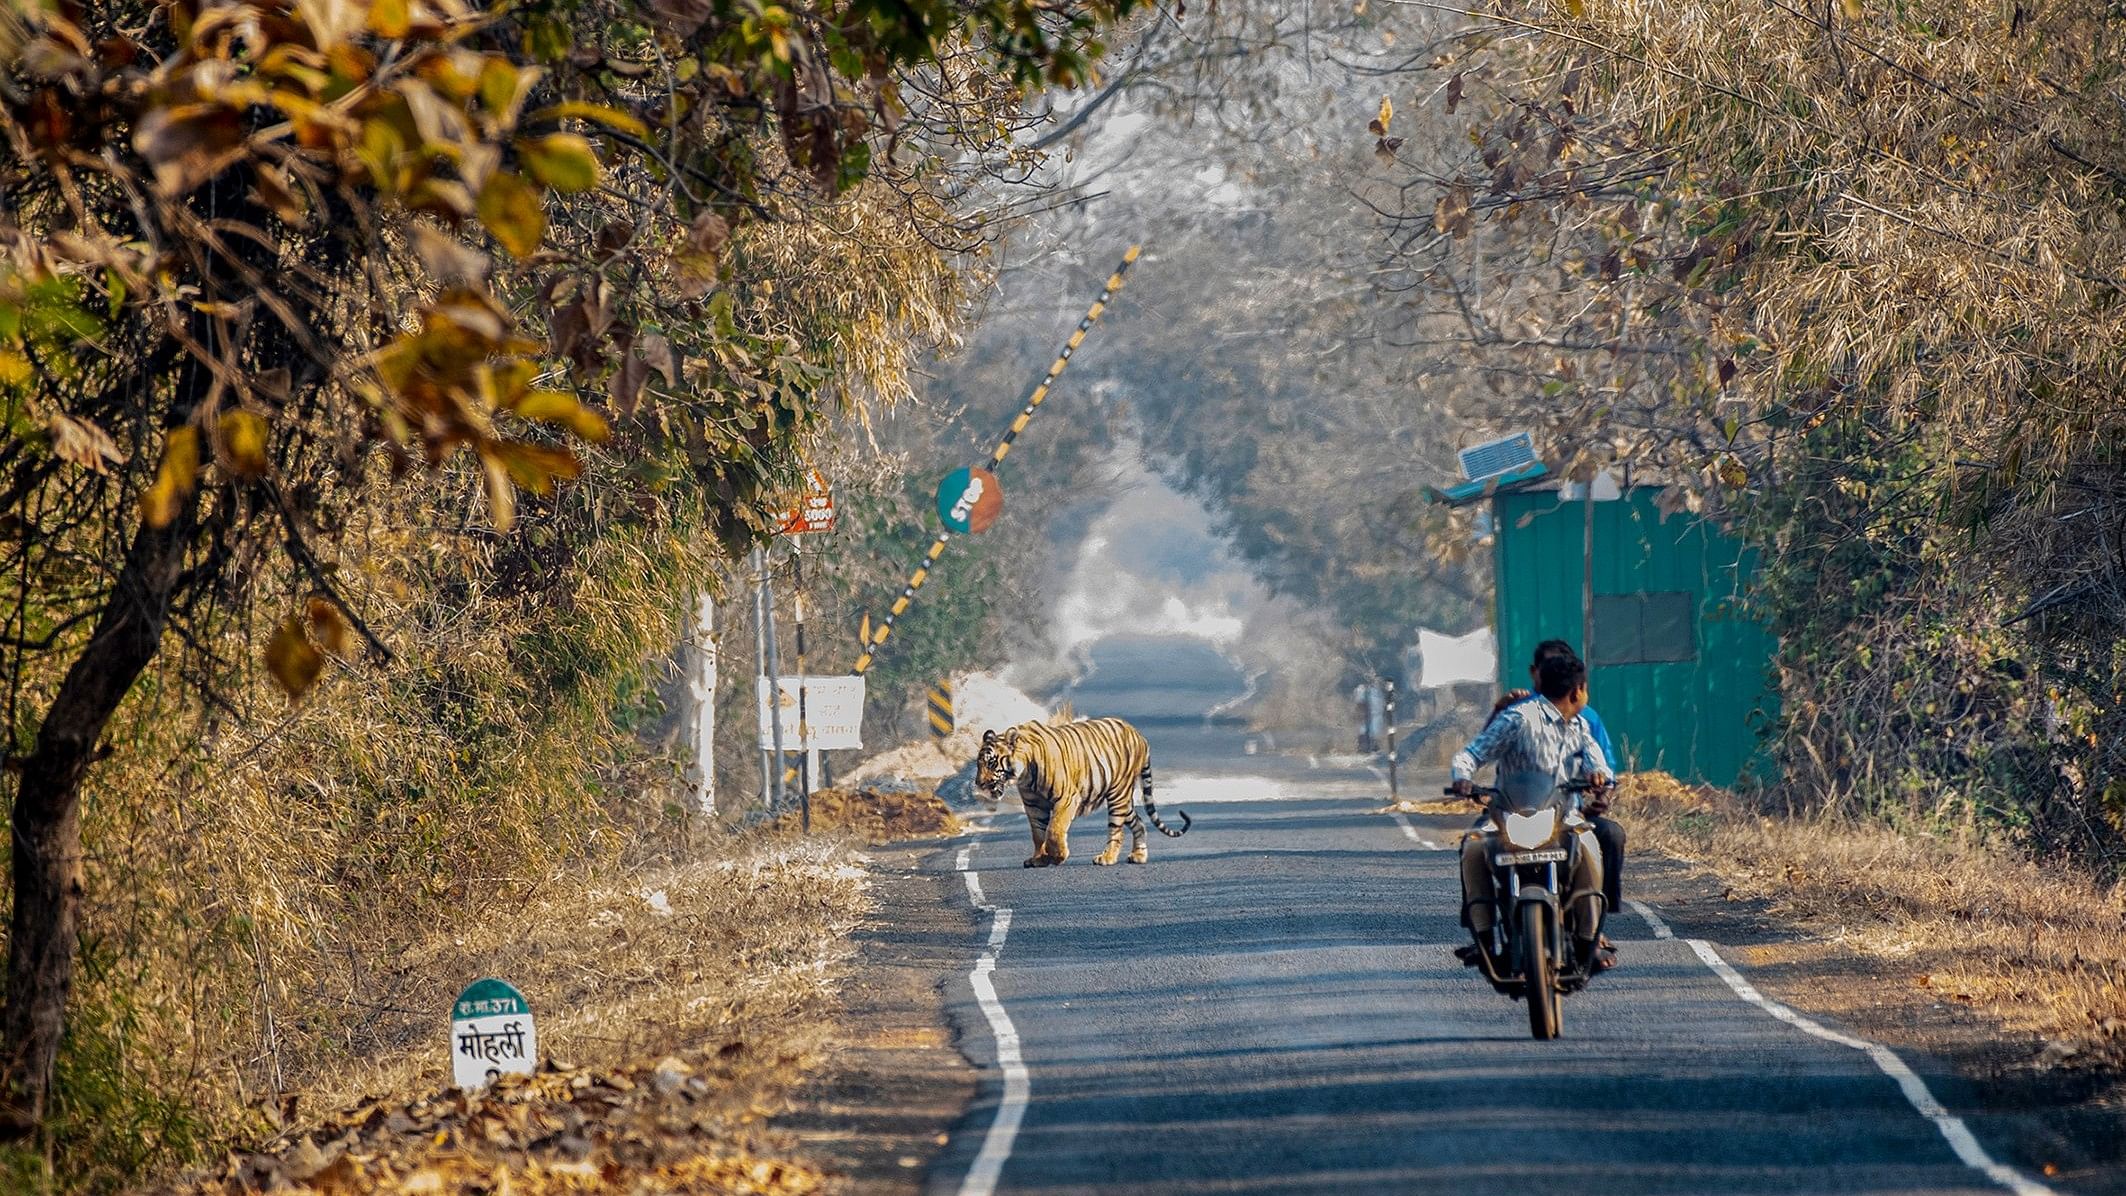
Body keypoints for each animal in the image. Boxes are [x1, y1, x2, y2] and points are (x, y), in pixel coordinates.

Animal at [973, 709, 1190, 870]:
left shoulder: (1067, 798)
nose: (979, 784)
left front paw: (1057, 856)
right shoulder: (1033, 805)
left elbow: (1054, 829)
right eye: (978, 764)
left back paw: (1107, 858)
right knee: (1139, 822)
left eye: (991, 763)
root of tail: (1138, 734)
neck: (1024, 775)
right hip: (1123, 800)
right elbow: (1038, 833)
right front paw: (1039, 859)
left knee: (1116, 830)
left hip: (1118, 794)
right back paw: (1138, 855)